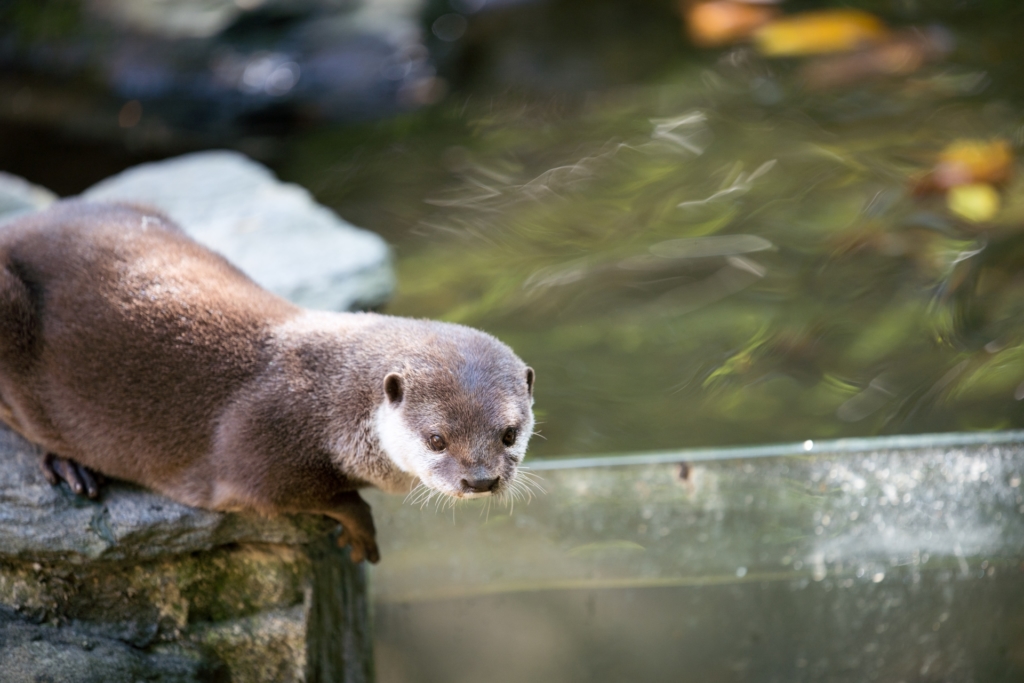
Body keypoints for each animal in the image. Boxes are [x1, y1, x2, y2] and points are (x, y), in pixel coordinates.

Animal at [0, 200, 536, 565]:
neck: (332, 402)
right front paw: (361, 527)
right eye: (436, 439)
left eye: (510, 434)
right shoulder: (260, 446)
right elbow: (307, 496)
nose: (481, 480)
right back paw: (70, 465)